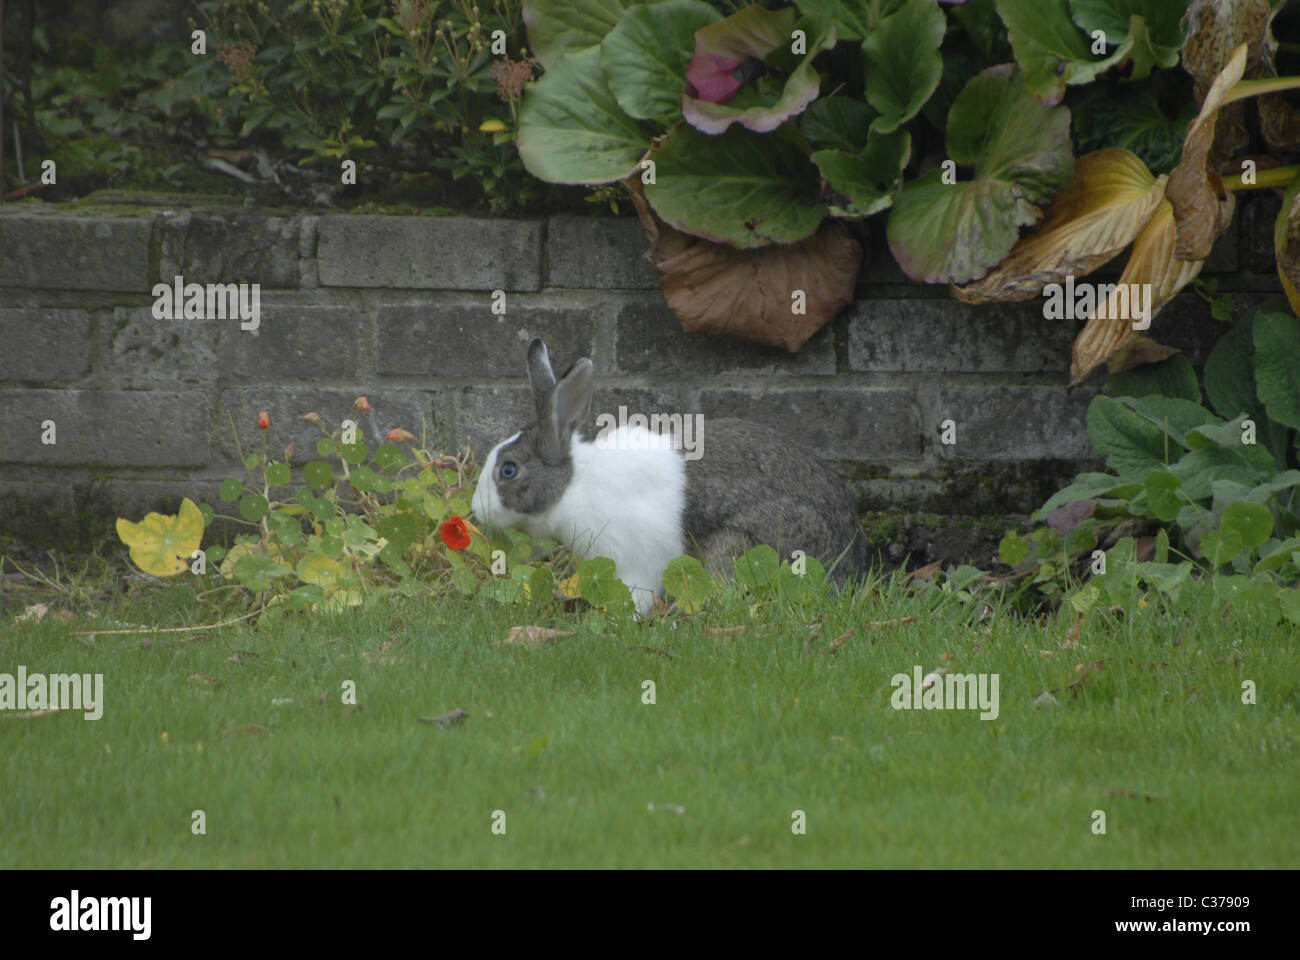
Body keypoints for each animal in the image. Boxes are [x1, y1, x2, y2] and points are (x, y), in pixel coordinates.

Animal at [471, 338, 868, 615]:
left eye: (508, 470)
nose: (476, 510)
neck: (572, 485)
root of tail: (848, 565)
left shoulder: (635, 564)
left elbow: (635, 597)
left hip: (738, 546)